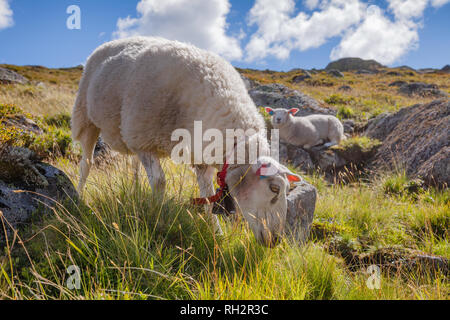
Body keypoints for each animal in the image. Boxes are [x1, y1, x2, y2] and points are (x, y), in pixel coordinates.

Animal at [72, 37, 300, 248]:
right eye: (274, 189)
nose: (276, 240)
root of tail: (109, 43)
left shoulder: (200, 158)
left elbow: (207, 197)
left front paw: (217, 234)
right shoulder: (144, 139)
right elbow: (159, 182)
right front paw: (156, 217)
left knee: (134, 166)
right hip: (86, 116)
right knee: (86, 163)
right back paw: (79, 195)